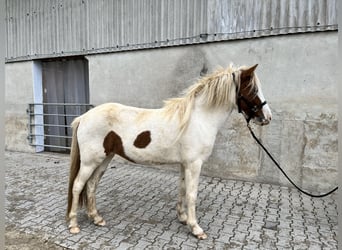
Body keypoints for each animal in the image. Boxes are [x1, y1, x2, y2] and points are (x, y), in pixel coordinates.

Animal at [67, 63, 272, 239]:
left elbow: (182, 189)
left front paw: (183, 218)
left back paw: (96, 218)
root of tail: (83, 117)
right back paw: (73, 224)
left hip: (104, 159)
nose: (267, 117)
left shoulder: (184, 164)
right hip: (89, 162)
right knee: (77, 186)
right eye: (253, 90)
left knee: (91, 185)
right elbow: (192, 194)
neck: (198, 119)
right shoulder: (194, 164)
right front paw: (196, 228)